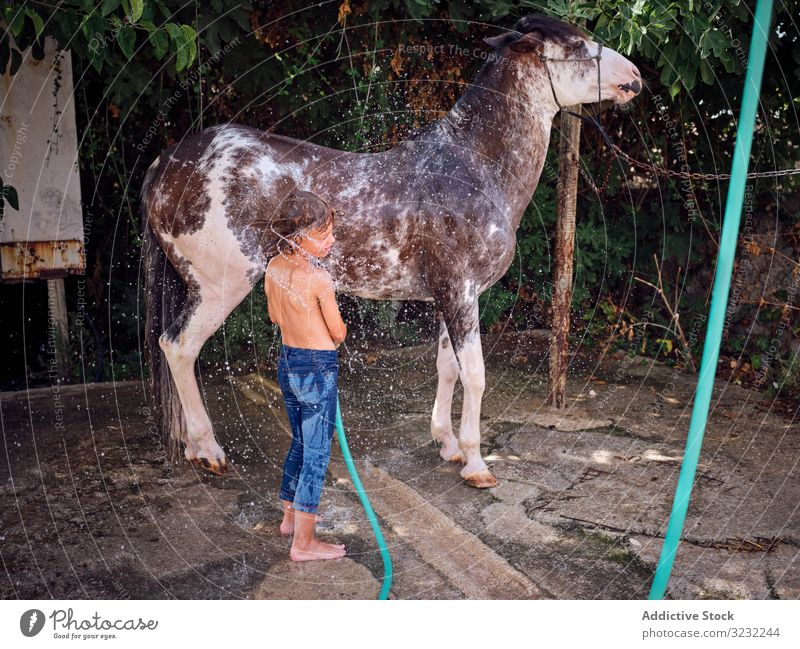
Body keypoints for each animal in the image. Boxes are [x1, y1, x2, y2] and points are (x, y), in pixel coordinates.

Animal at [141, 13, 640, 486]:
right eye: (576, 46)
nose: (634, 76)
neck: (471, 166)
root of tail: (165, 163)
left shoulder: (454, 296)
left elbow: (447, 368)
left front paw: (448, 444)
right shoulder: (459, 292)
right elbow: (476, 375)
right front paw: (476, 463)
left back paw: (192, 446)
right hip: (220, 287)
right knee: (179, 347)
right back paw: (208, 449)